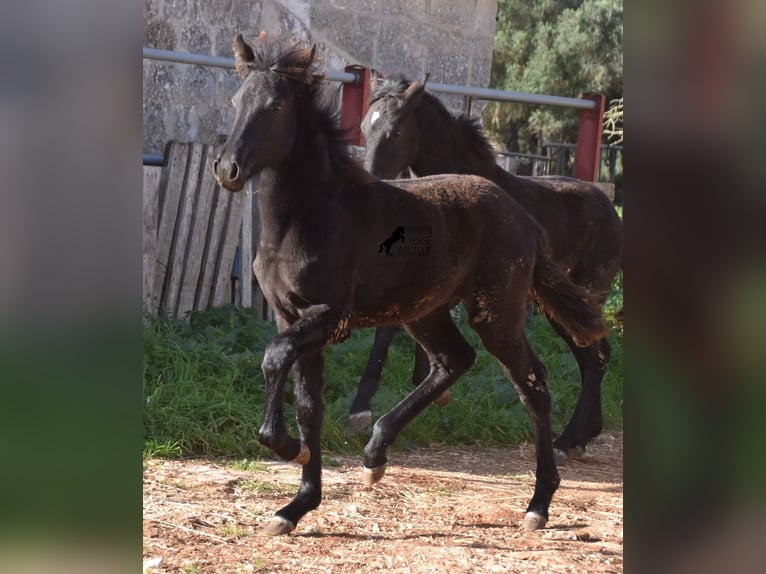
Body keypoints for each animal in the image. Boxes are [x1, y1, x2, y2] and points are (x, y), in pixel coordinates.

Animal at [356, 77, 628, 464]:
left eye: (395, 130)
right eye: (365, 127)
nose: (371, 178)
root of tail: (613, 212)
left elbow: (389, 329)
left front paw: (360, 409)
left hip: (575, 298)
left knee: (596, 356)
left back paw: (566, 441)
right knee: (595, 354)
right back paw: (583, 435)